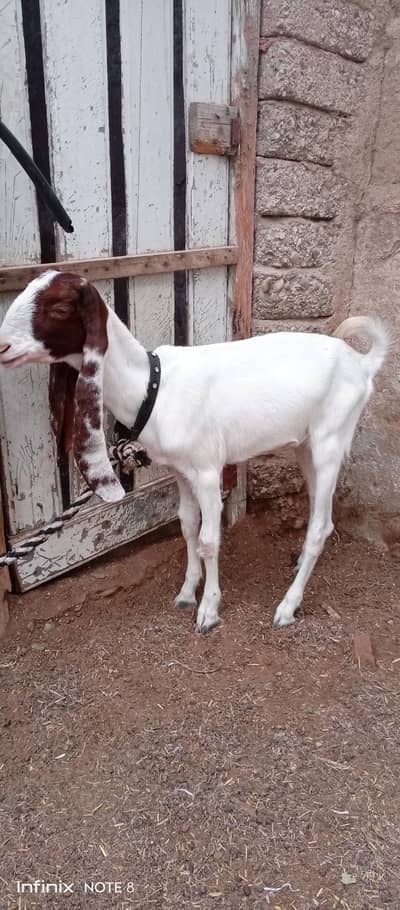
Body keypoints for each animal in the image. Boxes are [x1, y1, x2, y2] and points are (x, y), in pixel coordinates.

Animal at [0, 270, 388, 632]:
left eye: (59, 308)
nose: (2, 346)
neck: (154, 387)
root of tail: (362, 363)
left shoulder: (206, 471)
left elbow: (209, 539)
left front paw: (209, 611)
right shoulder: (180, 470)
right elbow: (187, 525)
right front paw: (187, 593)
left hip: (330, 439)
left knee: (320, 526)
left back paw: (287, 607)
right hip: (306, 445)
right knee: (321, 515)